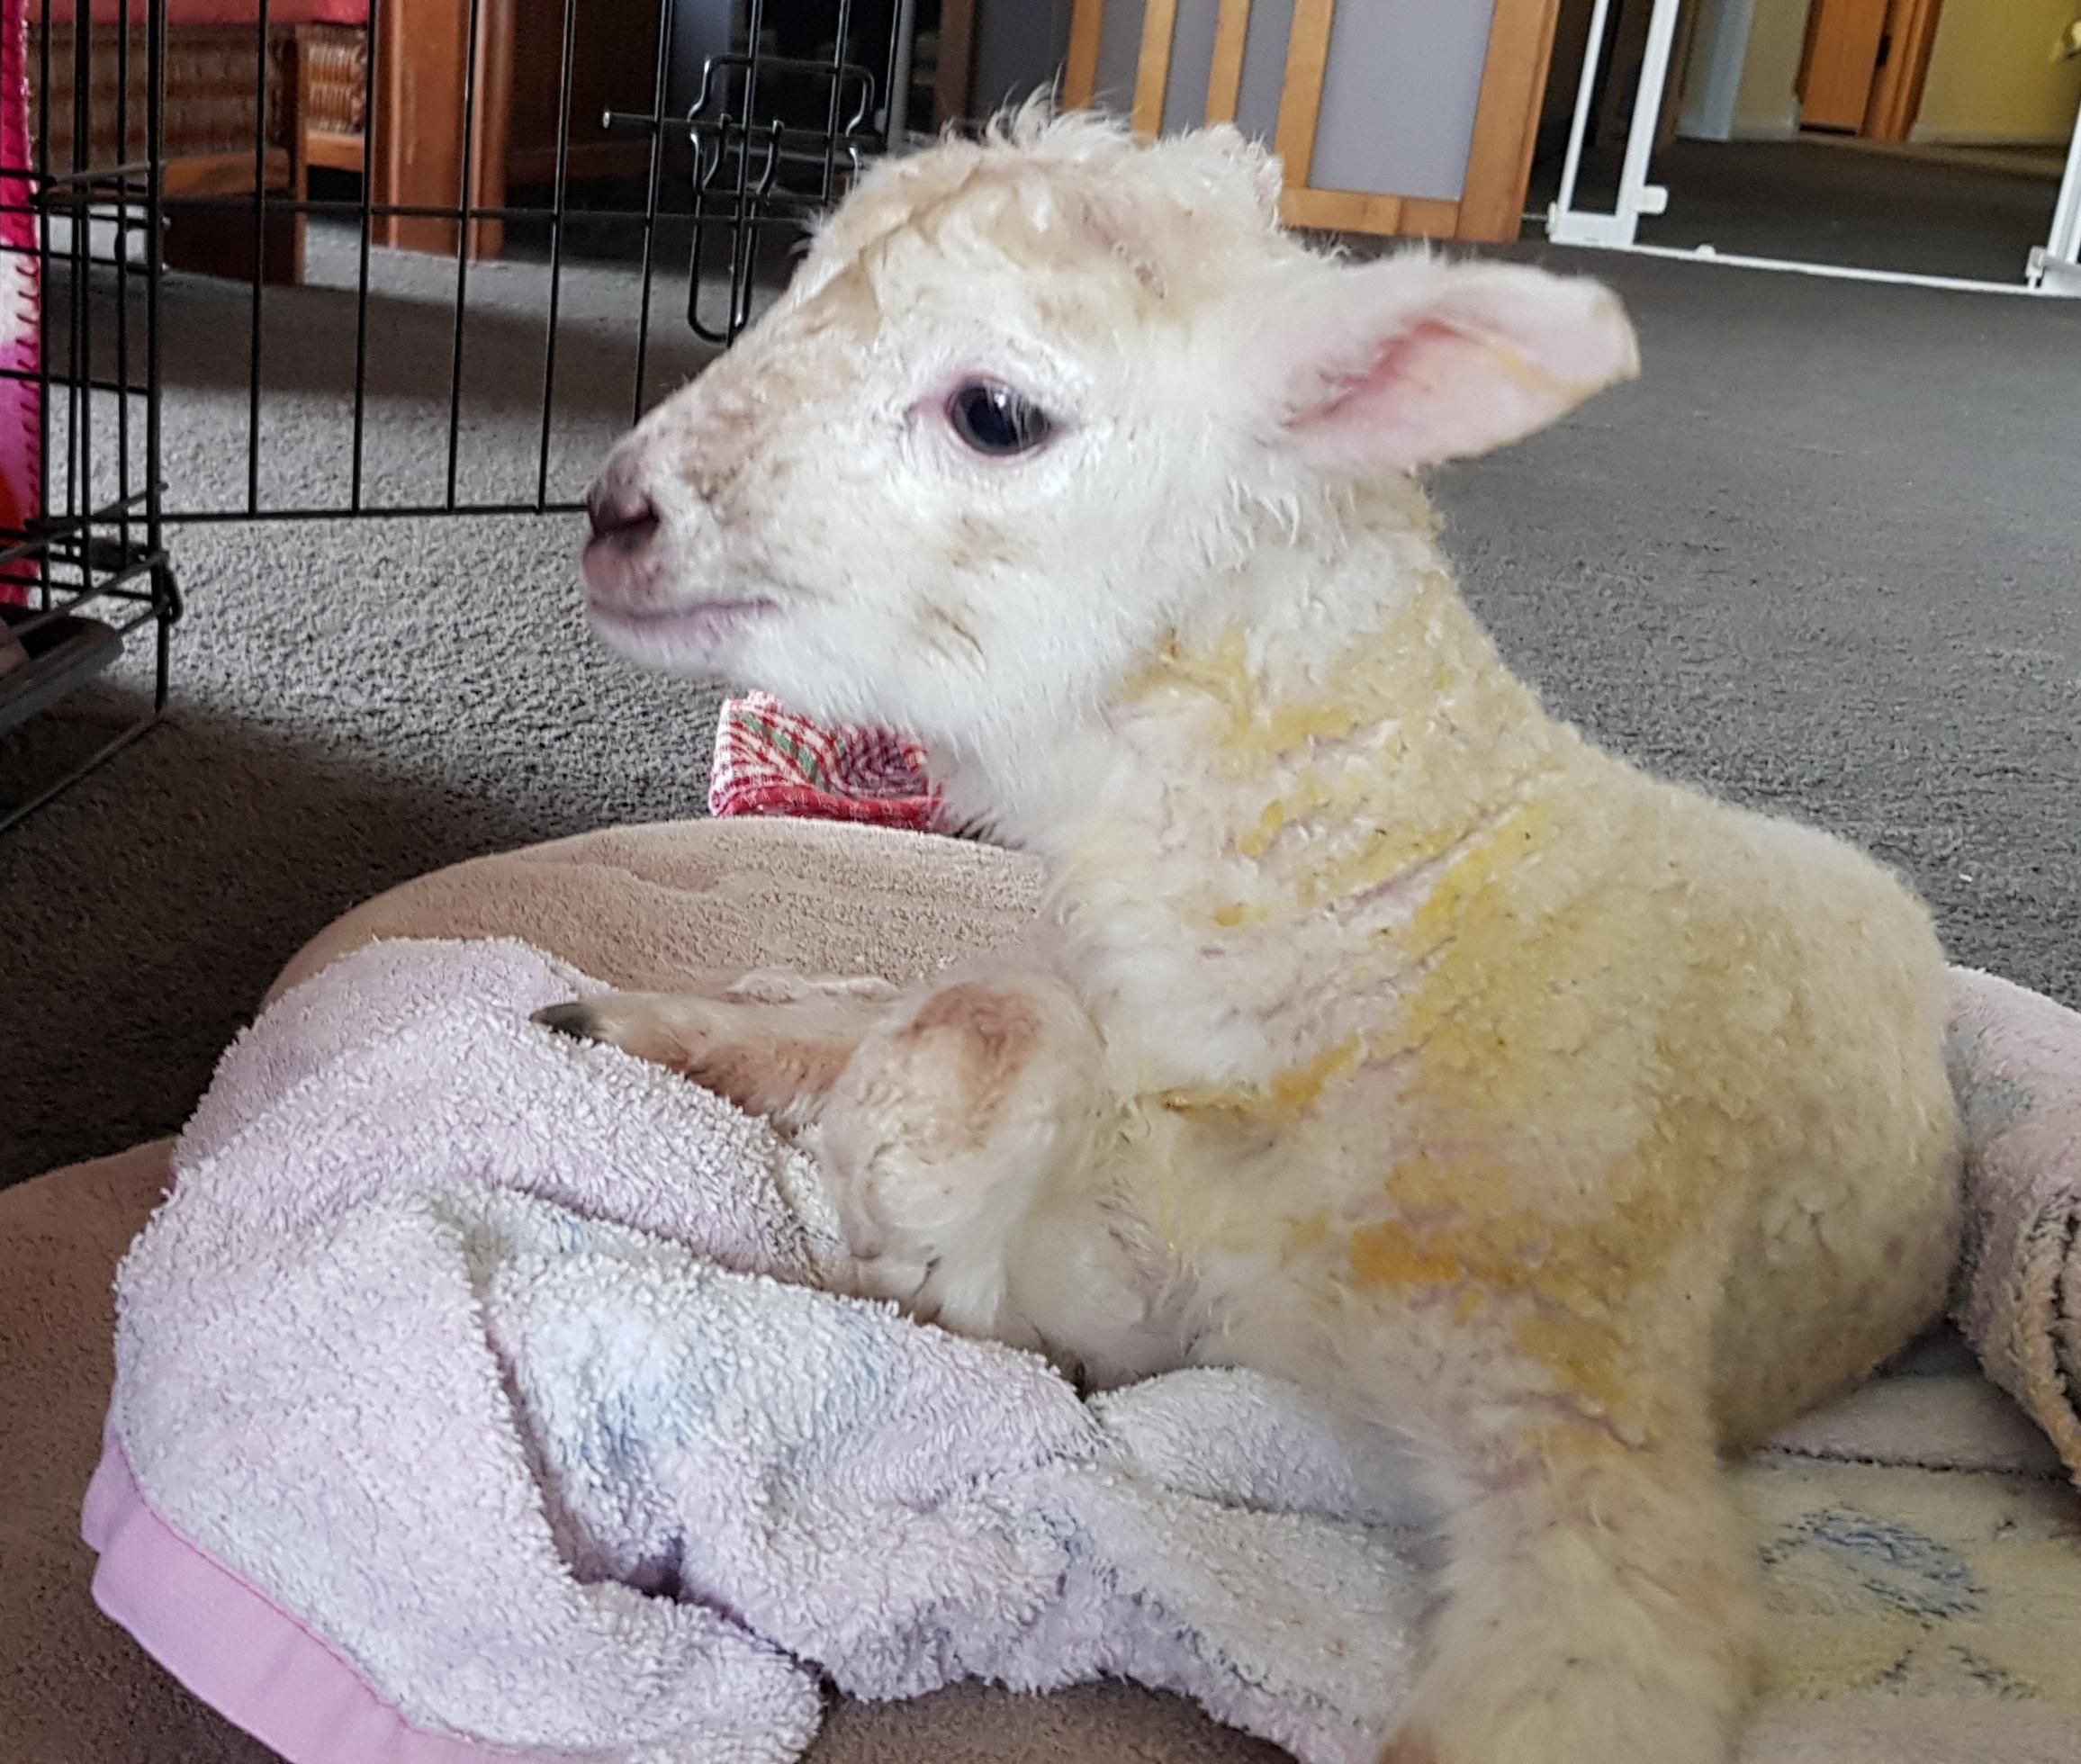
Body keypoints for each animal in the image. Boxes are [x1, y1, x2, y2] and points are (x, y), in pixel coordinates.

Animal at [543, 109, 1962, 1764]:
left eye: (996, 413)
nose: (612, 513)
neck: (1391, 922)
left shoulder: (1573, 1415)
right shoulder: (1153, 1273)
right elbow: (986, 1039)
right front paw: (759, 1099)